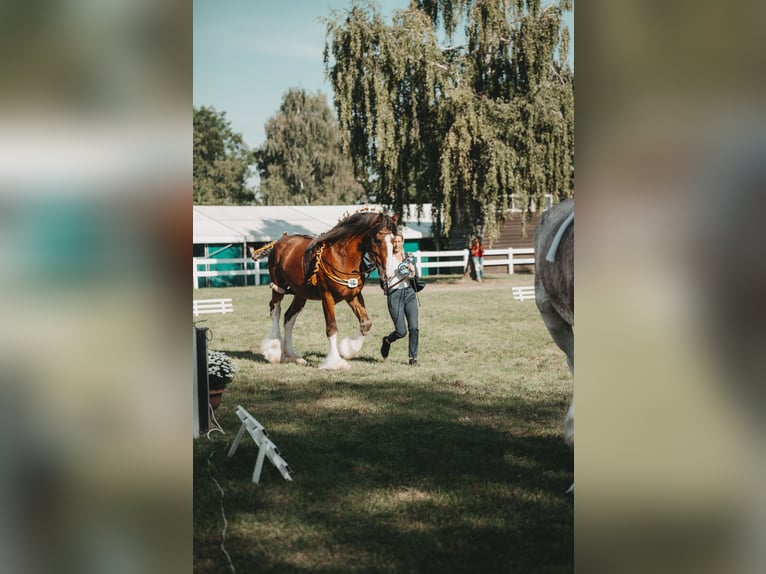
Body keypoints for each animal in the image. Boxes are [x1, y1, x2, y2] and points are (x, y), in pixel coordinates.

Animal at [250, 209, 400, 372]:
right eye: (378, 240)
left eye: (394, 241)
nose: (388, 273)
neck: (342, 257)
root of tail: (281, 241)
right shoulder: (327, 297)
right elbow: (332, 328)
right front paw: (336, 362)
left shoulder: (353, 296)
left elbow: (365, 323)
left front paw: (348, 350)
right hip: (278, 288)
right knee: (275, 310)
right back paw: (274, 351)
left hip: (300, 294)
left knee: (289, 318)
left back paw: (292, 355)